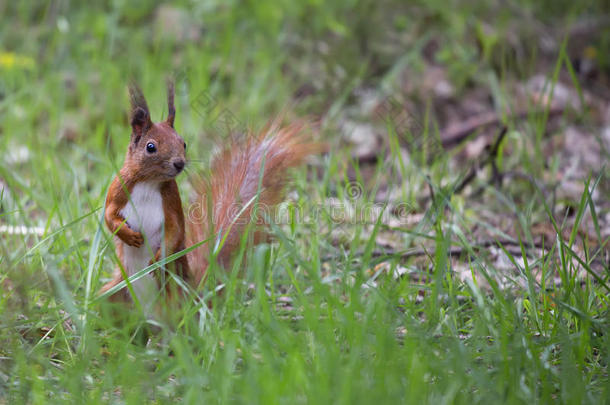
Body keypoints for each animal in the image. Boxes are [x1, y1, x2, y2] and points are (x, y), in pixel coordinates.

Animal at [98, 82, 318, 310]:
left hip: (174, 298)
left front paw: (160, 259)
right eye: (151, 147)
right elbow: (109, 215)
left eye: (183, 143)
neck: (149, 182)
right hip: (110, 296)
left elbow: (175, 229)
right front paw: (127, 234)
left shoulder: (171, 200)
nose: (179, 163)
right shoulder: (119, 188)